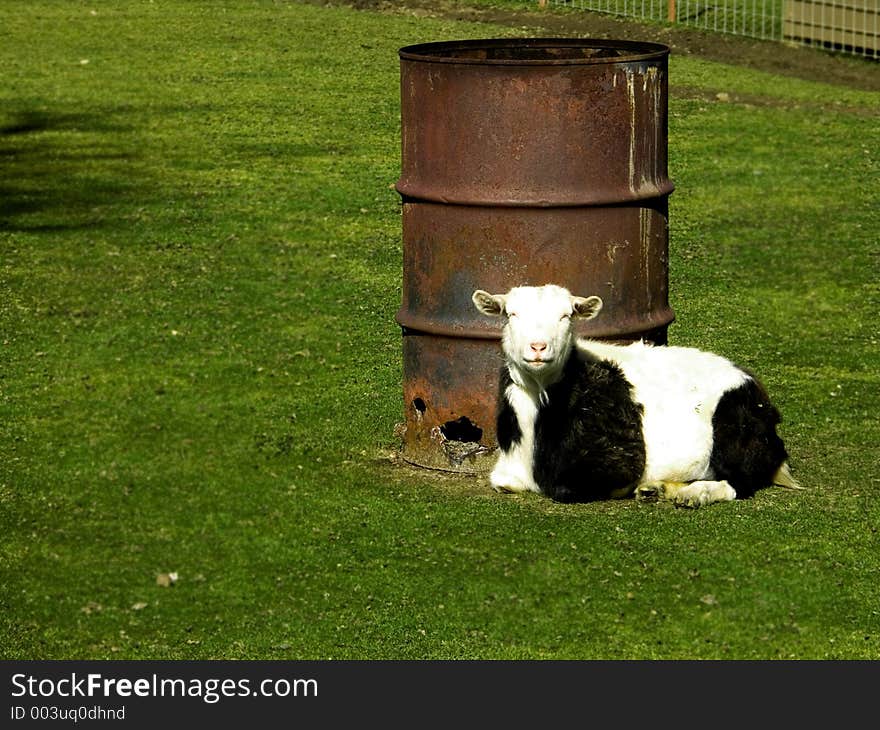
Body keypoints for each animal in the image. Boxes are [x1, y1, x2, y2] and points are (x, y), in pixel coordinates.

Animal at [470, 284, 800, 506]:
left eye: (566, 316)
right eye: (511, 314)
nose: (538, 347)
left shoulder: (616, 464)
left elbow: (568, 490)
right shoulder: (505, 473)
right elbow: (502, 483)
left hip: (734, 428)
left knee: (740, 481)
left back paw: (694, 494)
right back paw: (659, 489)